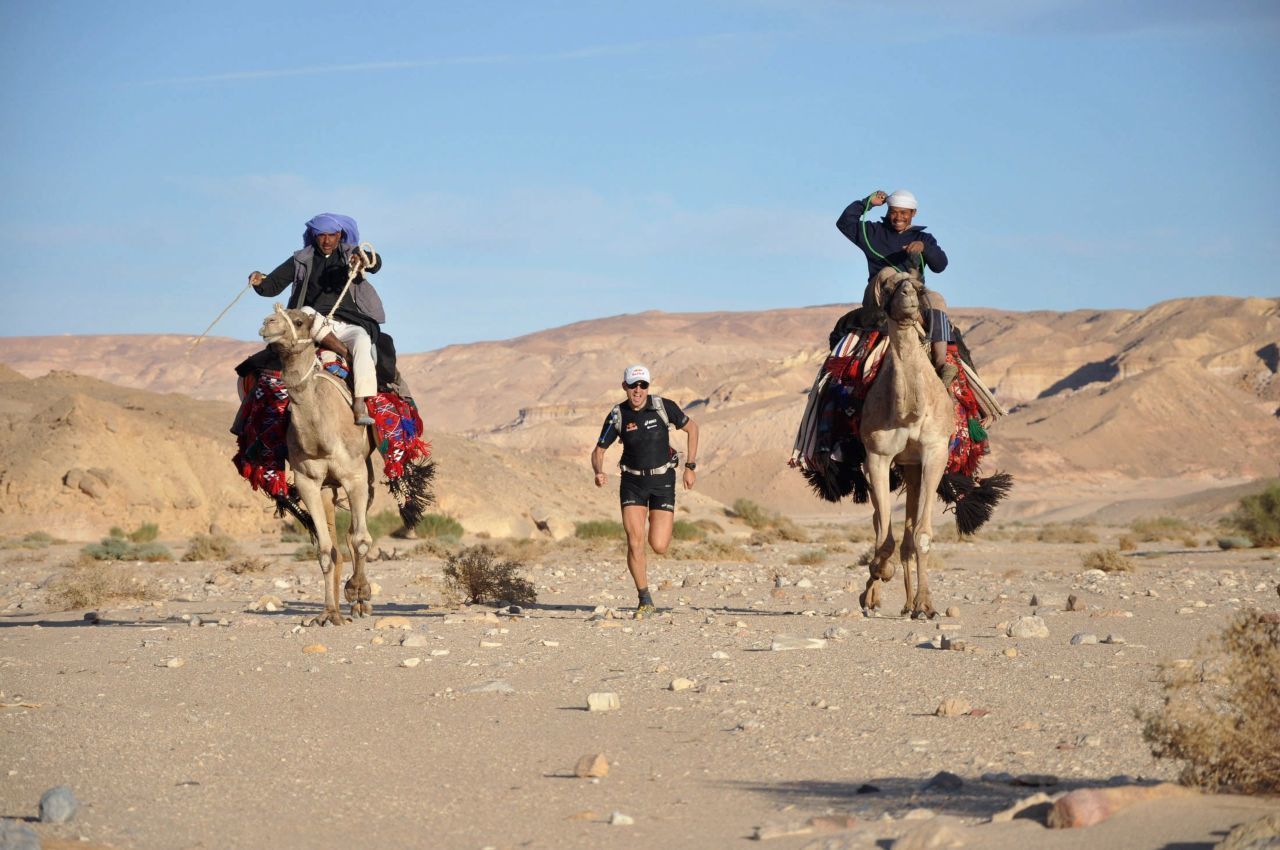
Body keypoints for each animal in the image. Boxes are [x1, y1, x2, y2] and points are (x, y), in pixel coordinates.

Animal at [259, 305, 373, 624]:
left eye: (298, 321)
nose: (268, 323)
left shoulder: (355, 475)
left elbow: (360, 540)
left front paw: (358, 591)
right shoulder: (308, 482)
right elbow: (323, 550)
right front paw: (328, 614)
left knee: (355, 534)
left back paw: (359, 601)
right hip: (327, 488)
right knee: (335, 544)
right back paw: (335, 608)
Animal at [860, 272, 952, 617]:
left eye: (918, 282)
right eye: (886, 284)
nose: (910, 293)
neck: (909, 411)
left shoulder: (935, 451)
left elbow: (922, 535)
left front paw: (925, 604)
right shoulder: (877, 455)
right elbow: (883, 537)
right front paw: (878, 576)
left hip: (913, 468)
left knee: (910, 534)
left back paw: (911, 602)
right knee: (880, 525)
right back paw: (873, 596)